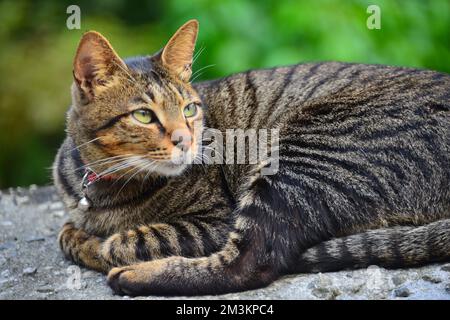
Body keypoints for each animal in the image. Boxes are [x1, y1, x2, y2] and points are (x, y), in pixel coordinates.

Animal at [53, 19, 450, 296]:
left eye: (189, 109)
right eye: (143, 116)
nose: (186, 140)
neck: (103, 183)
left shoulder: (214, 221)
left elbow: (124, 241)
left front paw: (89, 240)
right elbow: (72, 232)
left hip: (300, 157)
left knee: (251, 263)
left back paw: (134, 277)